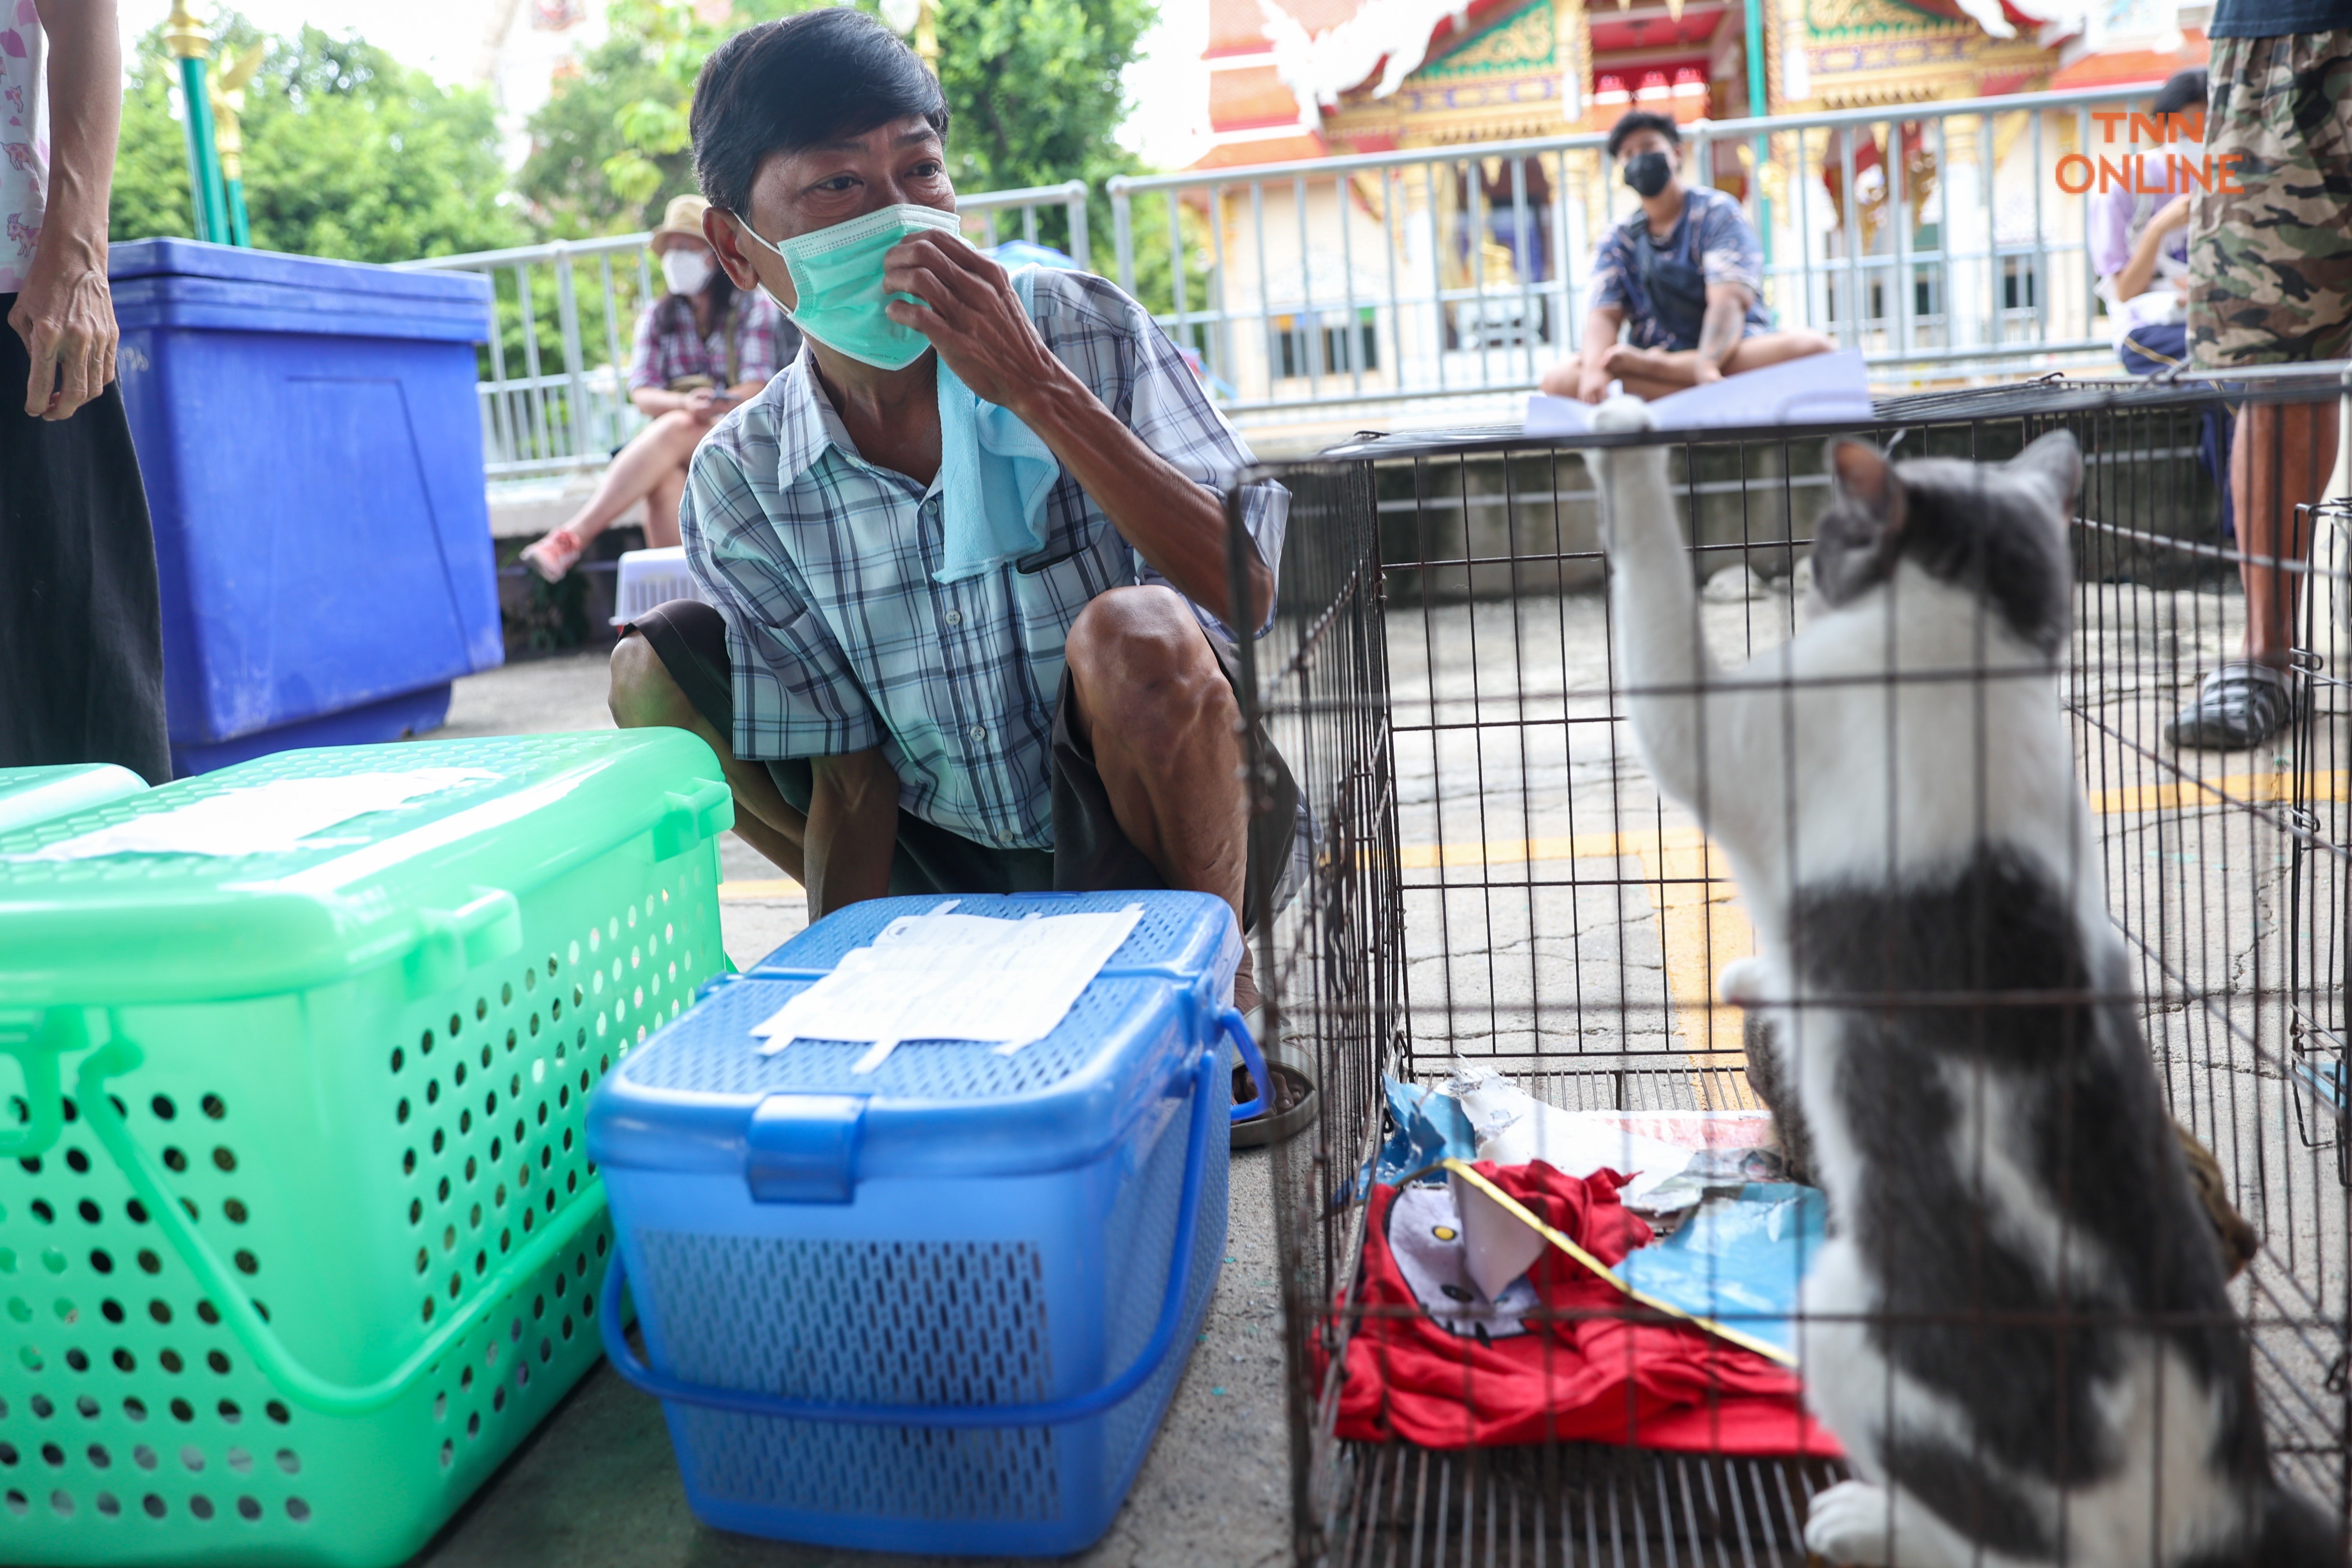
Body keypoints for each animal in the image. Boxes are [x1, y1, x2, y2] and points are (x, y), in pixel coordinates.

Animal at [1580, 399, 2333, 1568]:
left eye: (1828, 533)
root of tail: (2224, 1503)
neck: (1966, 654)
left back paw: (1866, 1520)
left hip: (1847, 1320)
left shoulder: (1721, 727)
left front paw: (1623, 425)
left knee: (1988, 1540)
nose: (1808, 568)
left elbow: (1658, 610)